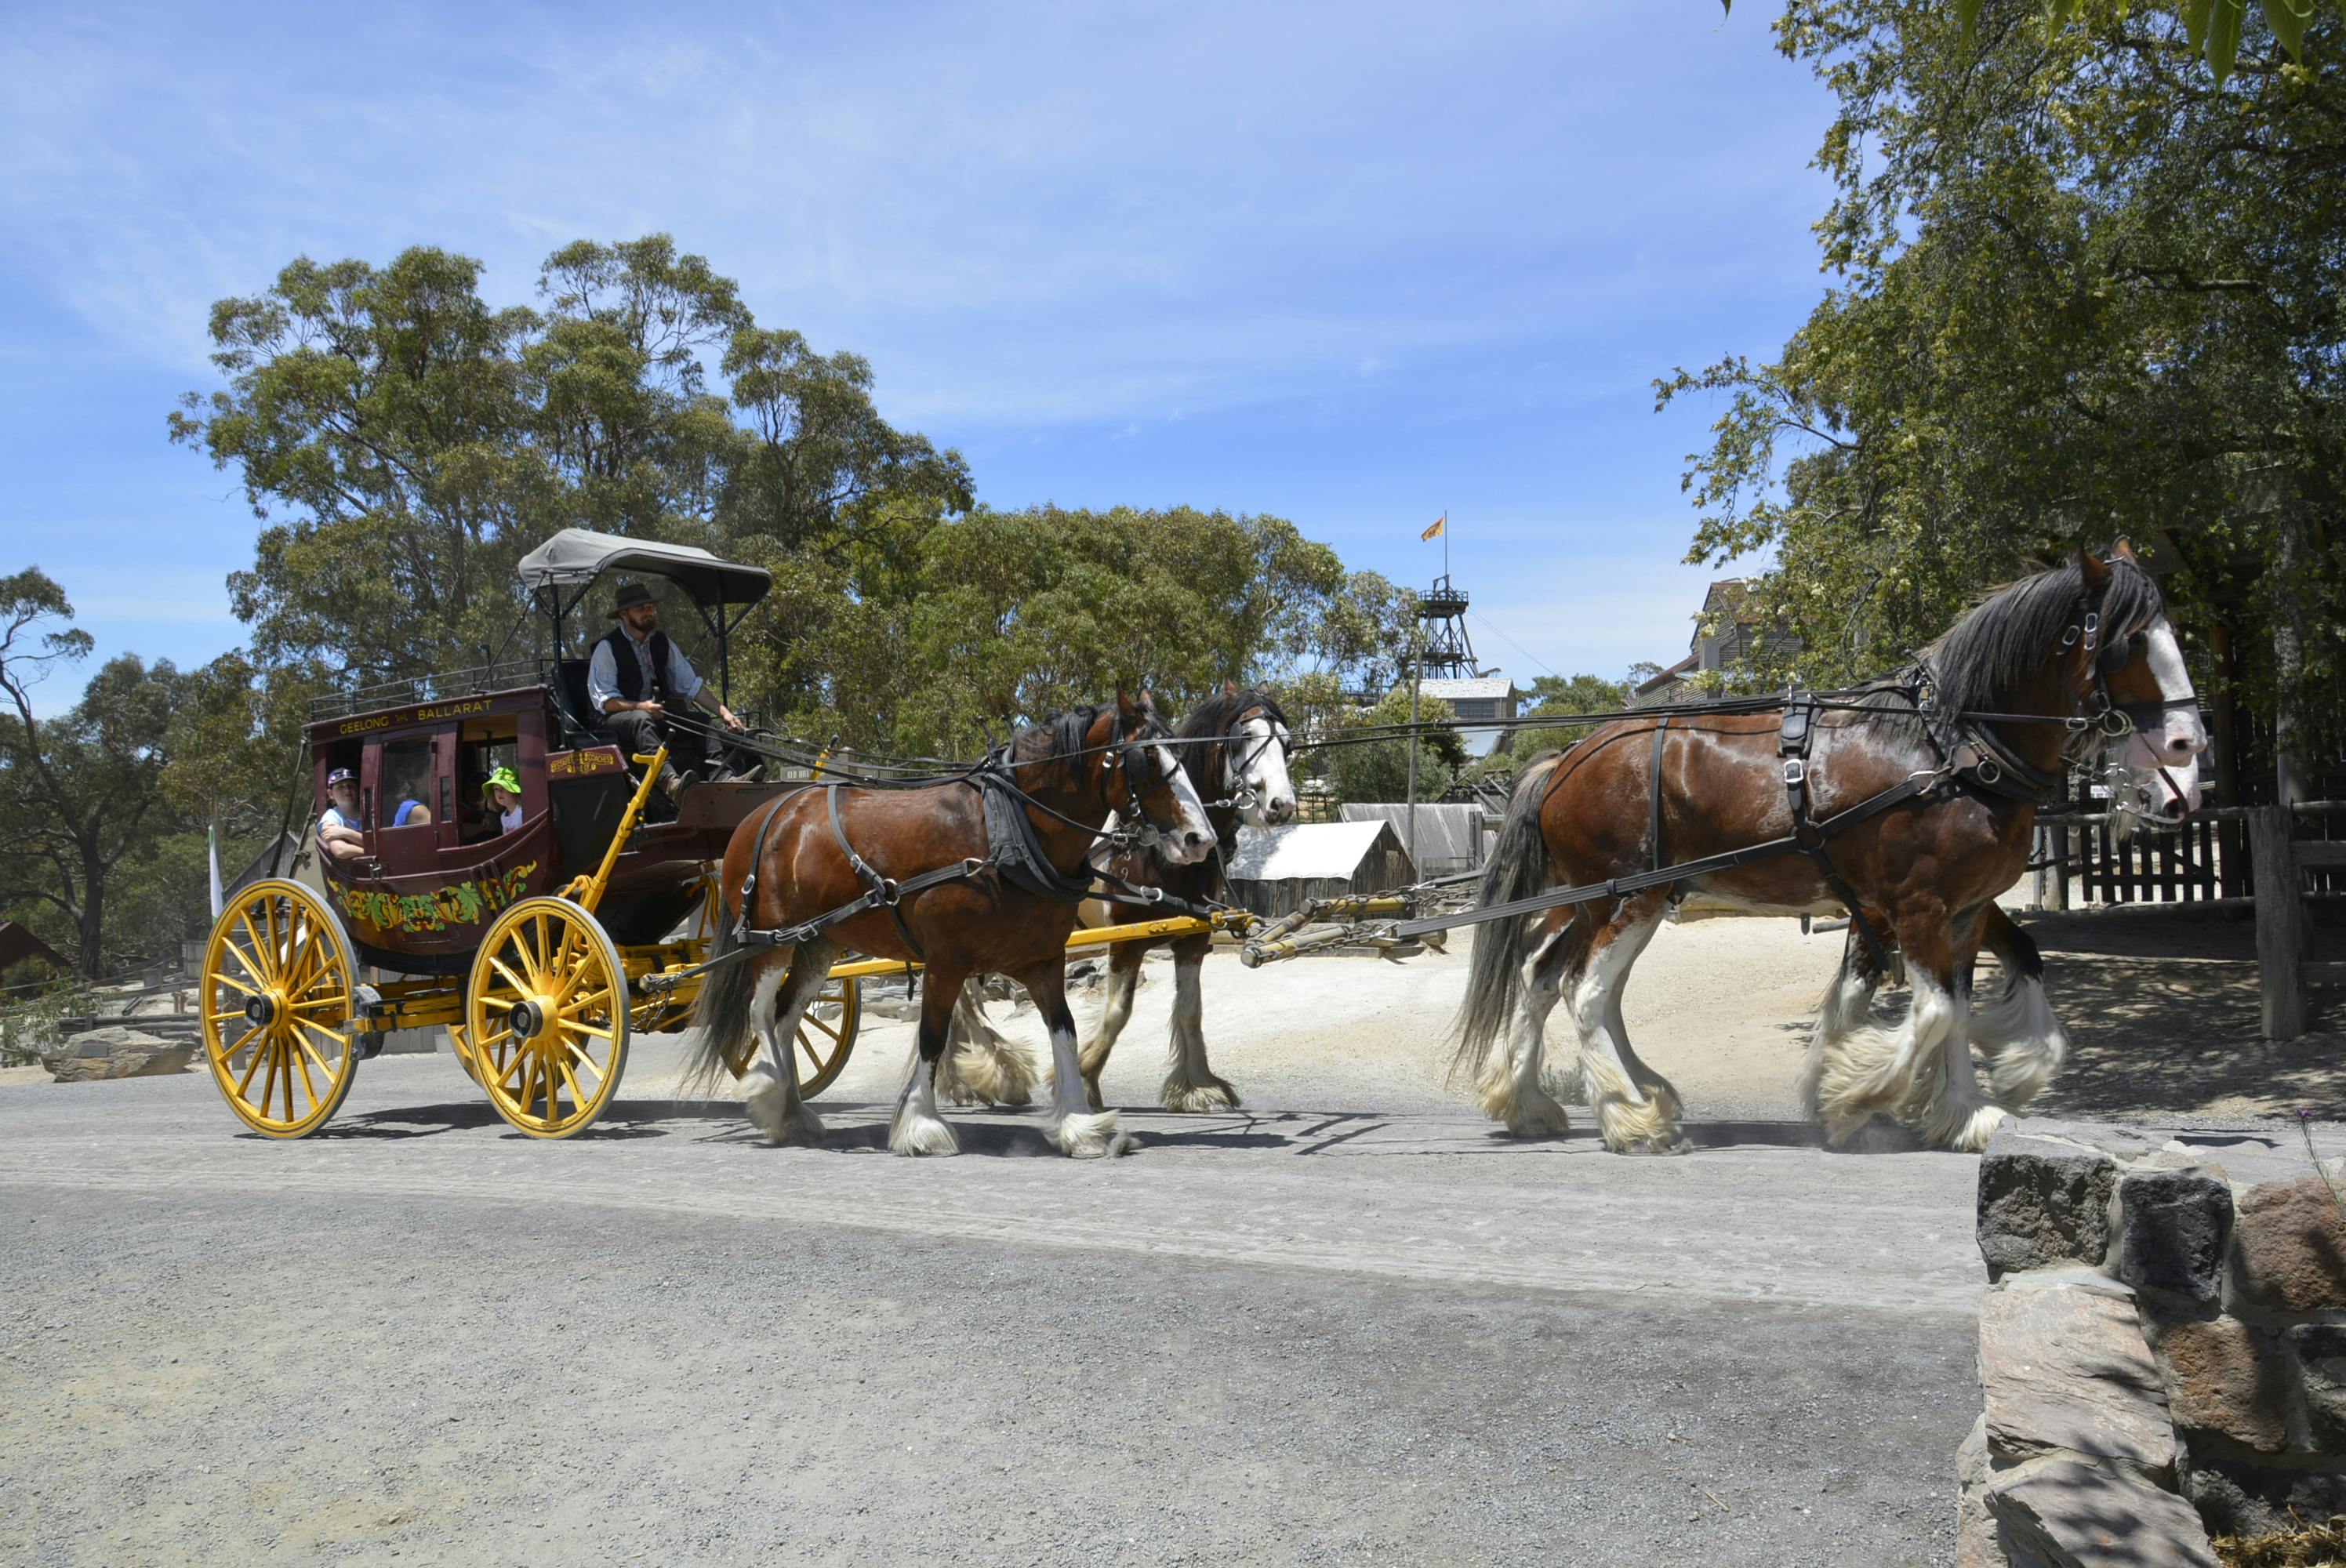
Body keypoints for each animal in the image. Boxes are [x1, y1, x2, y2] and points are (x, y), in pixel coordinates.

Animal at [685, 690, 1210, 1160]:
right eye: (1145, 759)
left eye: (1183, 755)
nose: (1199, 839)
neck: (1006, 832)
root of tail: (762, 815)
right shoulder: (946, 962)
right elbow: (932, 1036)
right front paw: (921, 1126)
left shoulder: (1043, 960)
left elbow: (1064, 1031)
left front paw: (1079, 1125)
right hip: (770, 941)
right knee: (759, 1012)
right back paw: (771, 1093)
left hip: (818, 945)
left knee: (786, 1018)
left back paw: (792, 1112)